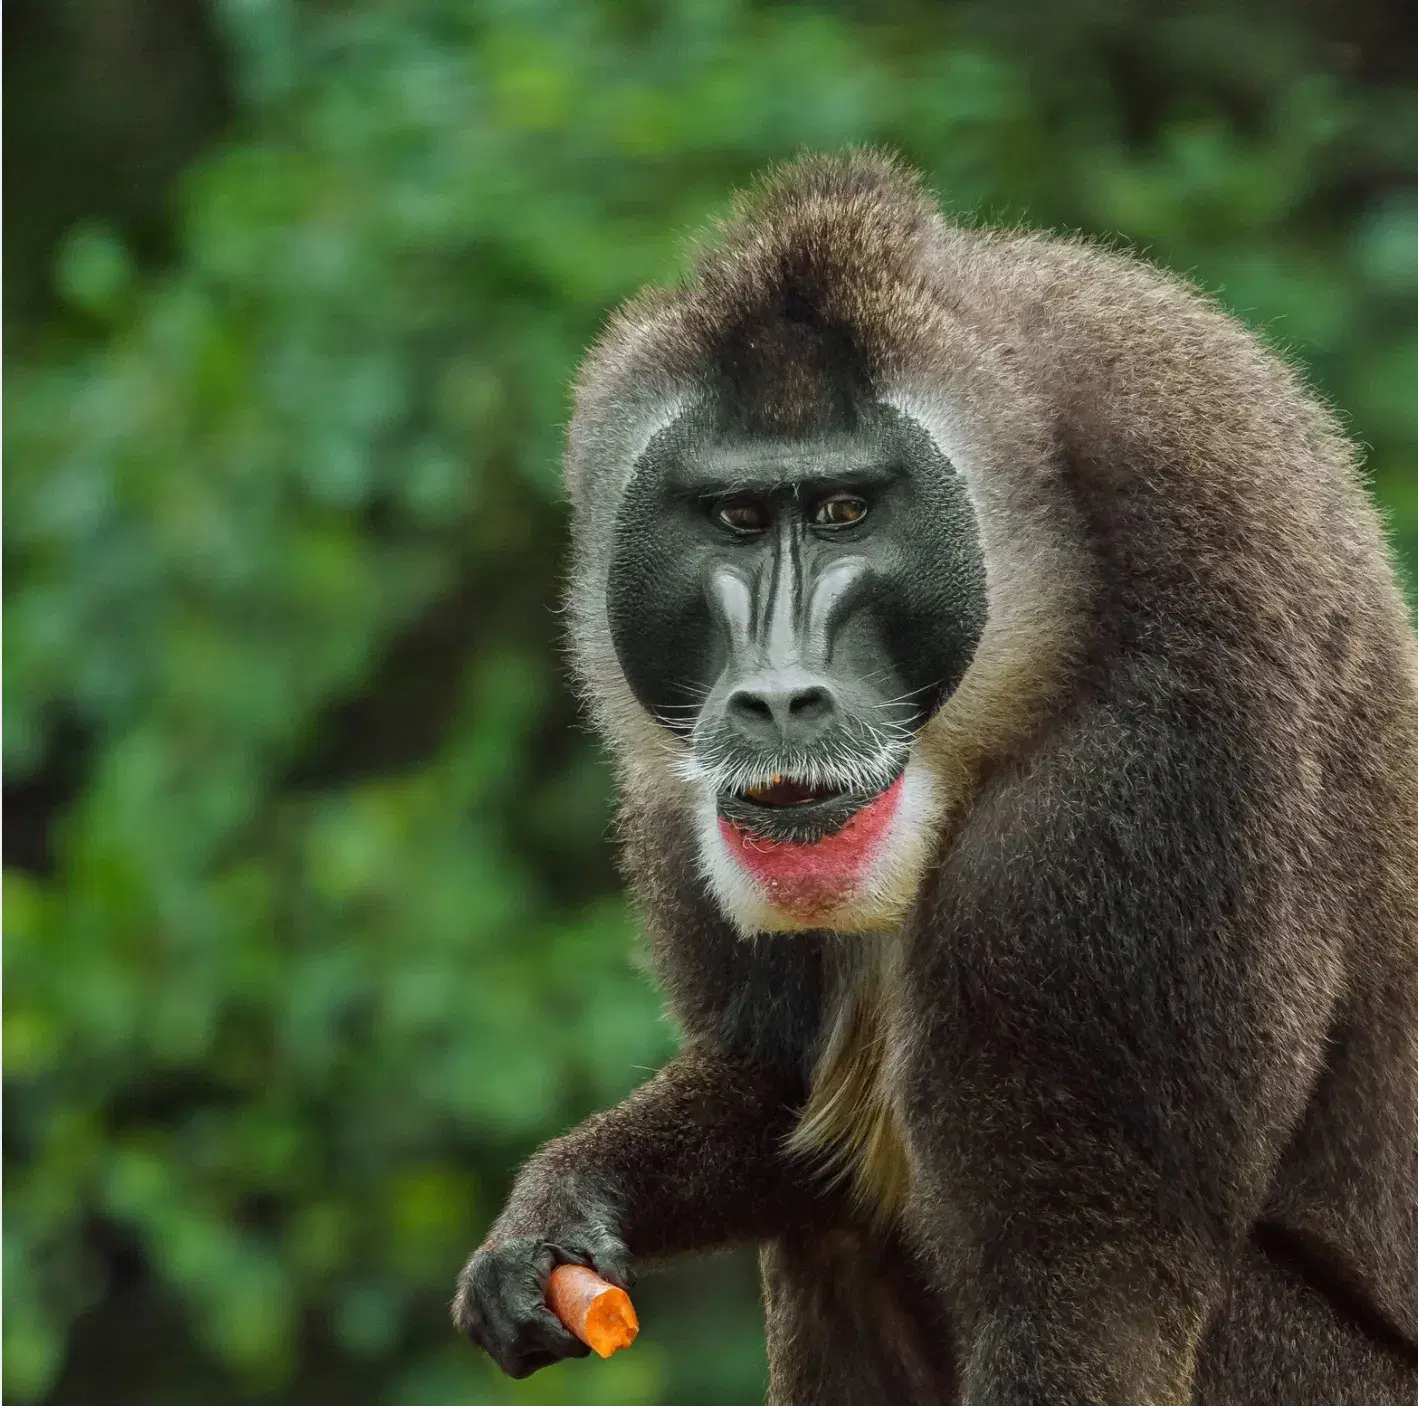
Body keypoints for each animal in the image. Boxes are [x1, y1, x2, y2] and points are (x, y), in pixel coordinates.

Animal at [452, 151, 1418, 1404]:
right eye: (739, 515)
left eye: (845, 509)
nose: (774, 698)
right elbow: (771, 1096)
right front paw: (554, 1220)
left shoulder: (1140, 798)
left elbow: (1082, 1303)